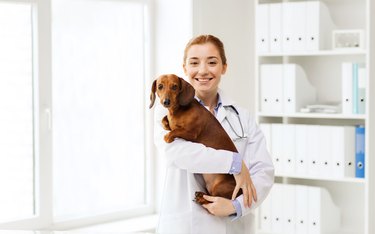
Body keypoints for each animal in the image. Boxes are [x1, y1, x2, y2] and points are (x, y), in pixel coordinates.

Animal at [149, 73, 241, 205]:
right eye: (160, 86)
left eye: (174, 87)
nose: (166, 102)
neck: (178, 111)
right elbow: (164, 120)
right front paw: (166, 124)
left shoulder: (192, 133)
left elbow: (175, 131)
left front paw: (168, 136)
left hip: (220, 187)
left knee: (213, 200)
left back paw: (201, 198)